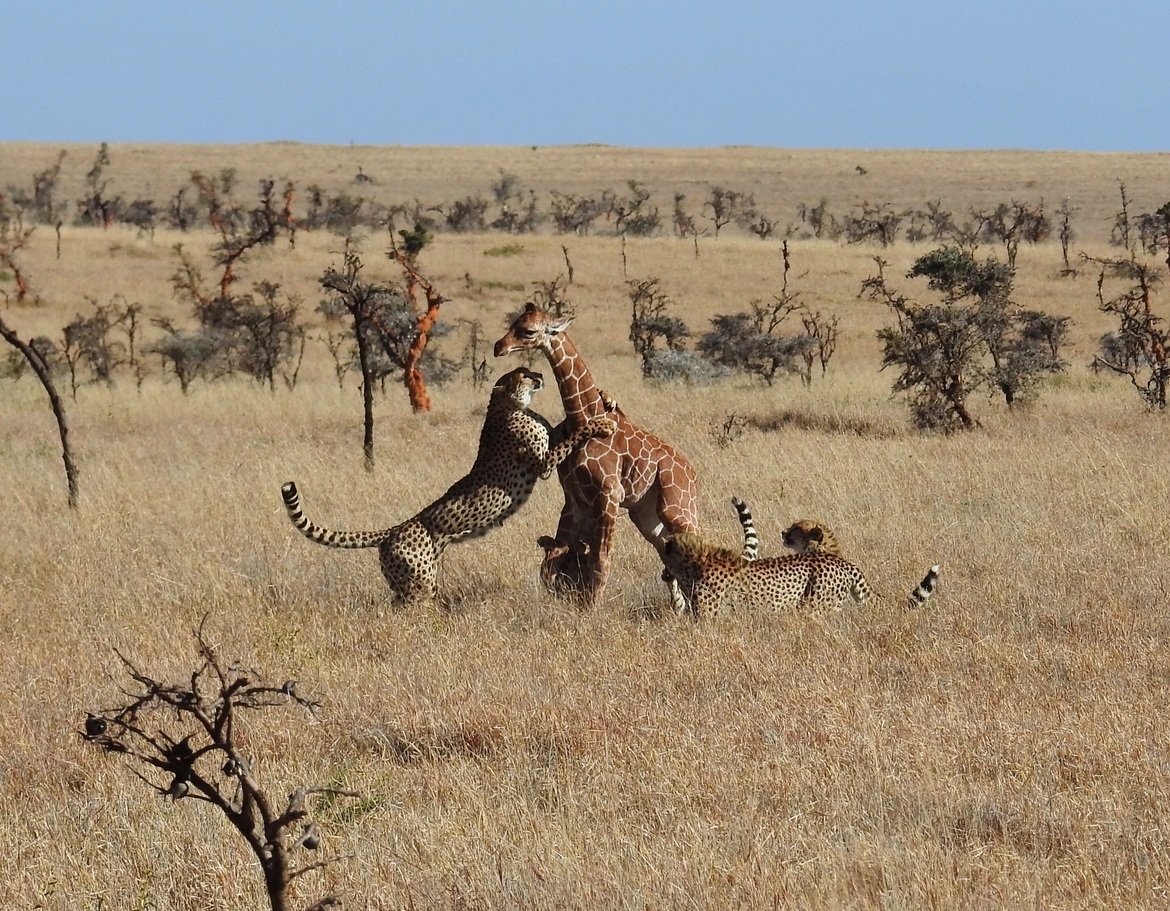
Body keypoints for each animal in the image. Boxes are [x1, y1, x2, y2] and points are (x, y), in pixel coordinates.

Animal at [282, 367, 617, 605]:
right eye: (523, 374)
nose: (540, 376)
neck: (506, 405)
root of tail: (396, 529)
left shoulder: (550, 440)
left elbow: (564, 428)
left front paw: (607, 400)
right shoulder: (544, 464)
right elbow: (574, 435)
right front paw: (602, 424)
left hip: (406, 580)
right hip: (420, 581)